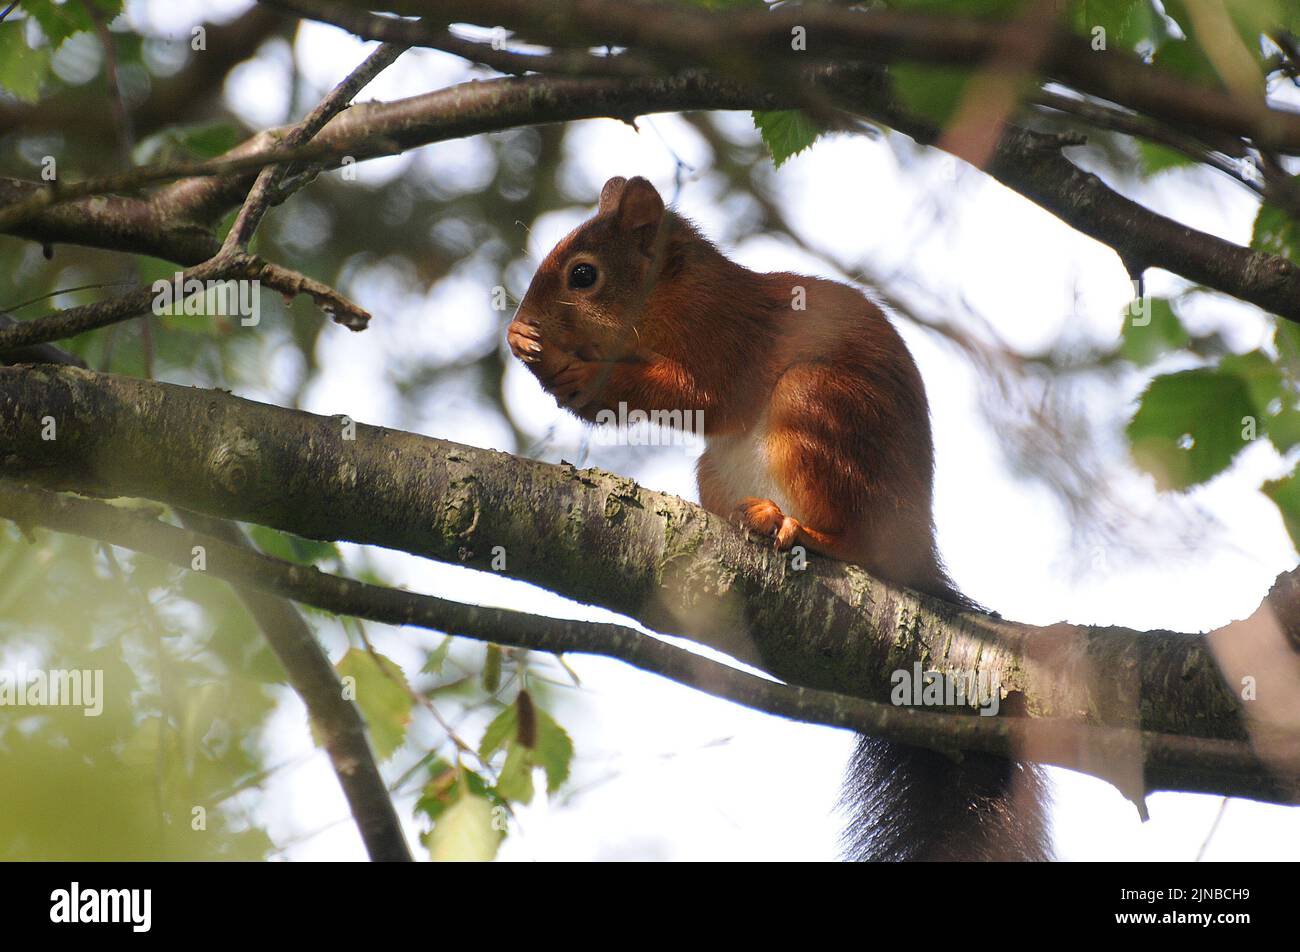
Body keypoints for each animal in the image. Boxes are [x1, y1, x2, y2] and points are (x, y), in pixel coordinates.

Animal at [504, 174, 1045, 858]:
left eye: (582, 274)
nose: (523, 322)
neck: (668, 293)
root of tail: (915, 547)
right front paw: (525, 347)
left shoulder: (720, 337)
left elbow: (691, 395)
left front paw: (571, 367)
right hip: (718, 468)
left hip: (816, 408)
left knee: (851, 539)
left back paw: (796, 528)